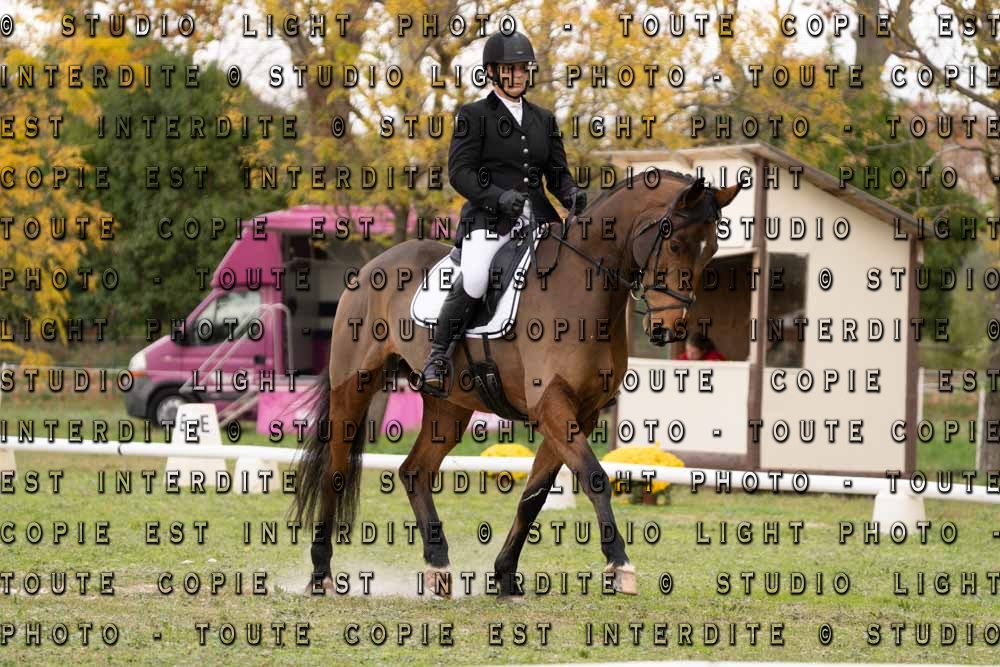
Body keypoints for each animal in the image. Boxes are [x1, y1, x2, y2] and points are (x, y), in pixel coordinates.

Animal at [291, 169, 744, 598]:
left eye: (711, 252)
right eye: (675, 244)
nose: (668, 329)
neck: (584, 287)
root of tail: (373, 266)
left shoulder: (581, 411)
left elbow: (535, 496)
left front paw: (505, 576)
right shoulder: (551, 406)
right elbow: (595, 477)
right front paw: (619, 566)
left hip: (450, 405)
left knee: (414, 472)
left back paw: (439, 568)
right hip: (354, 387)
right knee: (335, 470)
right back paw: (321, 573)